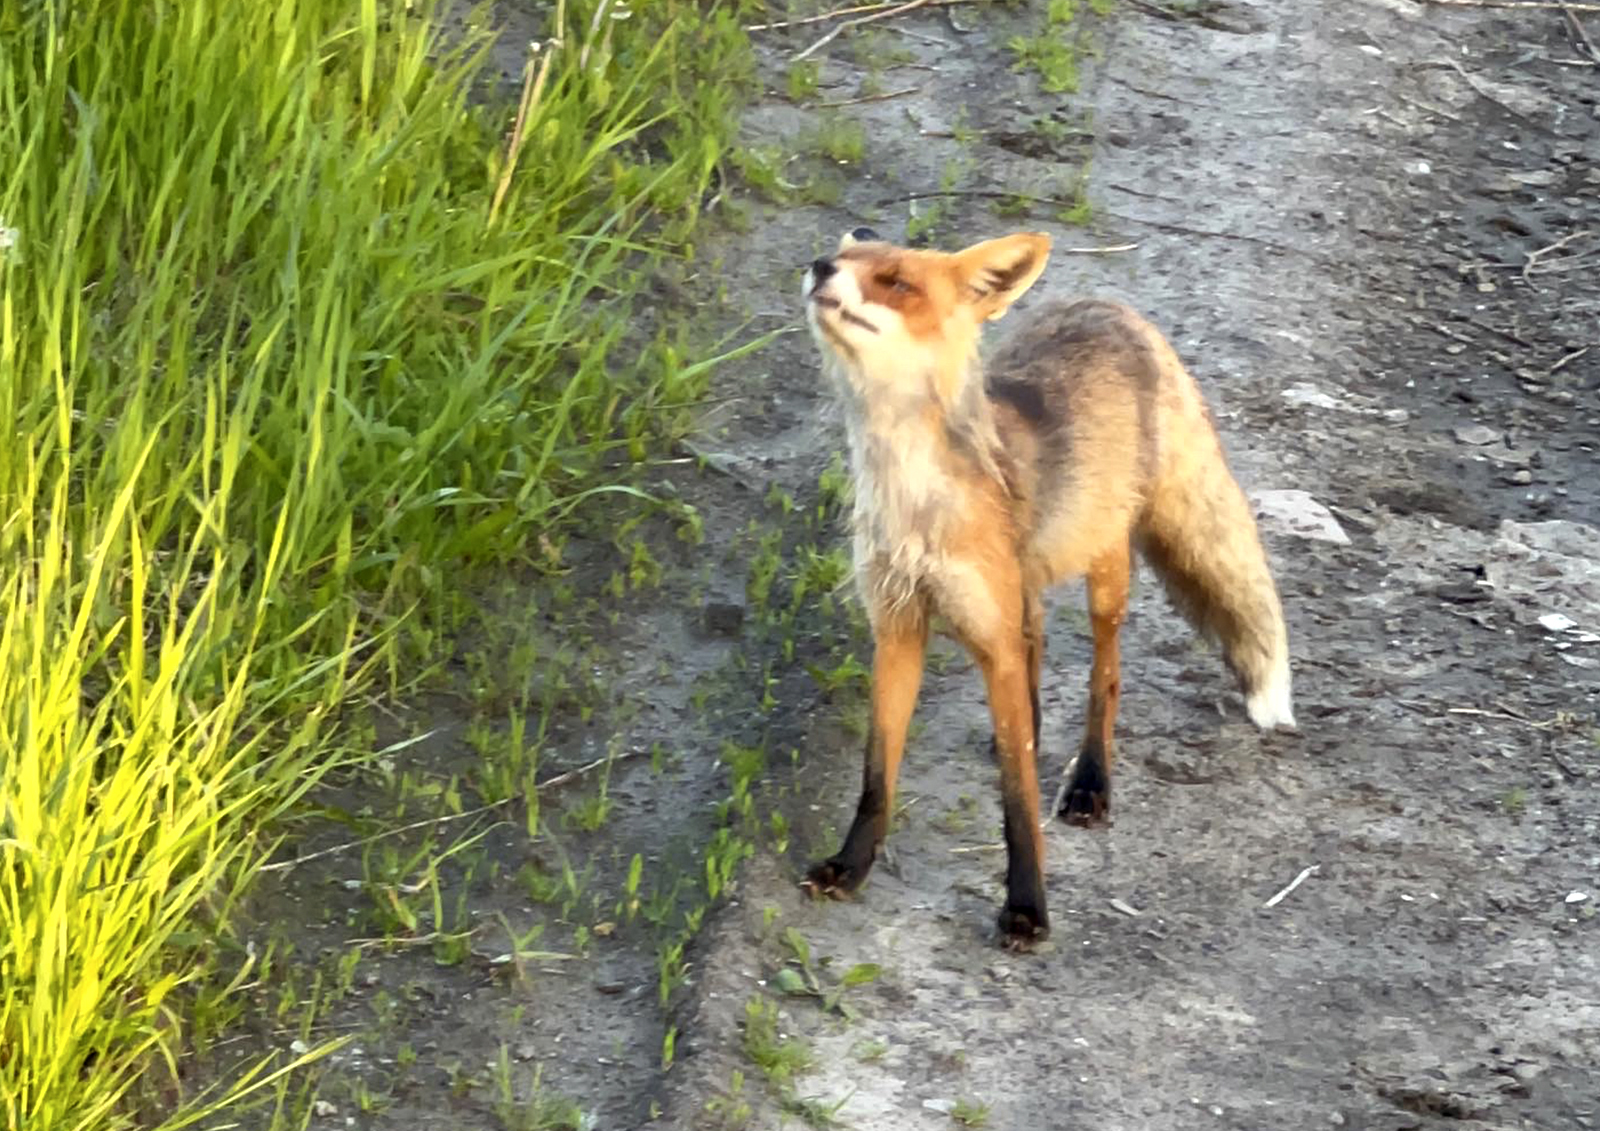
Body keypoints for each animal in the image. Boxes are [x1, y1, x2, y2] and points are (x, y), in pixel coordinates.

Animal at [800, 225, 1299, 953]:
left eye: (896, 281)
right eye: (844, 254)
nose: (818, 265)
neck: (914, 499)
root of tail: (1118, 310)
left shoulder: (986, 632)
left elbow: (1019, 801)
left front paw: (1027, 907)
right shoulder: (898, 626)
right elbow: (876, 776)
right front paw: (852, 864)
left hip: (1105, 572)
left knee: (1105, 677)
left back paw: (1091, 780)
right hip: (1025, 586)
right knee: (1034, 650)